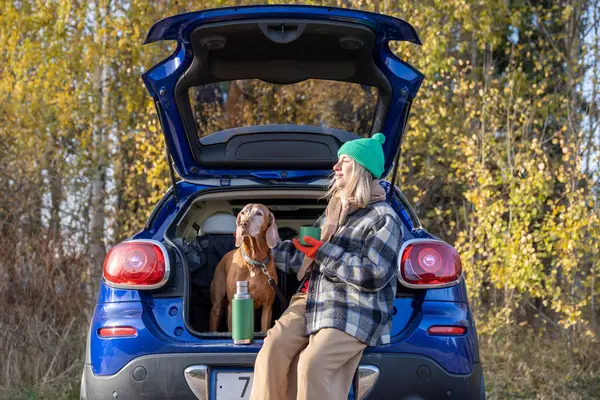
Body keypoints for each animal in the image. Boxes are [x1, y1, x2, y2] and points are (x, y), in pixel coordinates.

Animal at [210, 203, 280, 332]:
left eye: (259, 213)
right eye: (243, 213)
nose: (243, 224)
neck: (254, 262)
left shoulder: (267, 307)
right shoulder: (233, 304)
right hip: (217, 303)